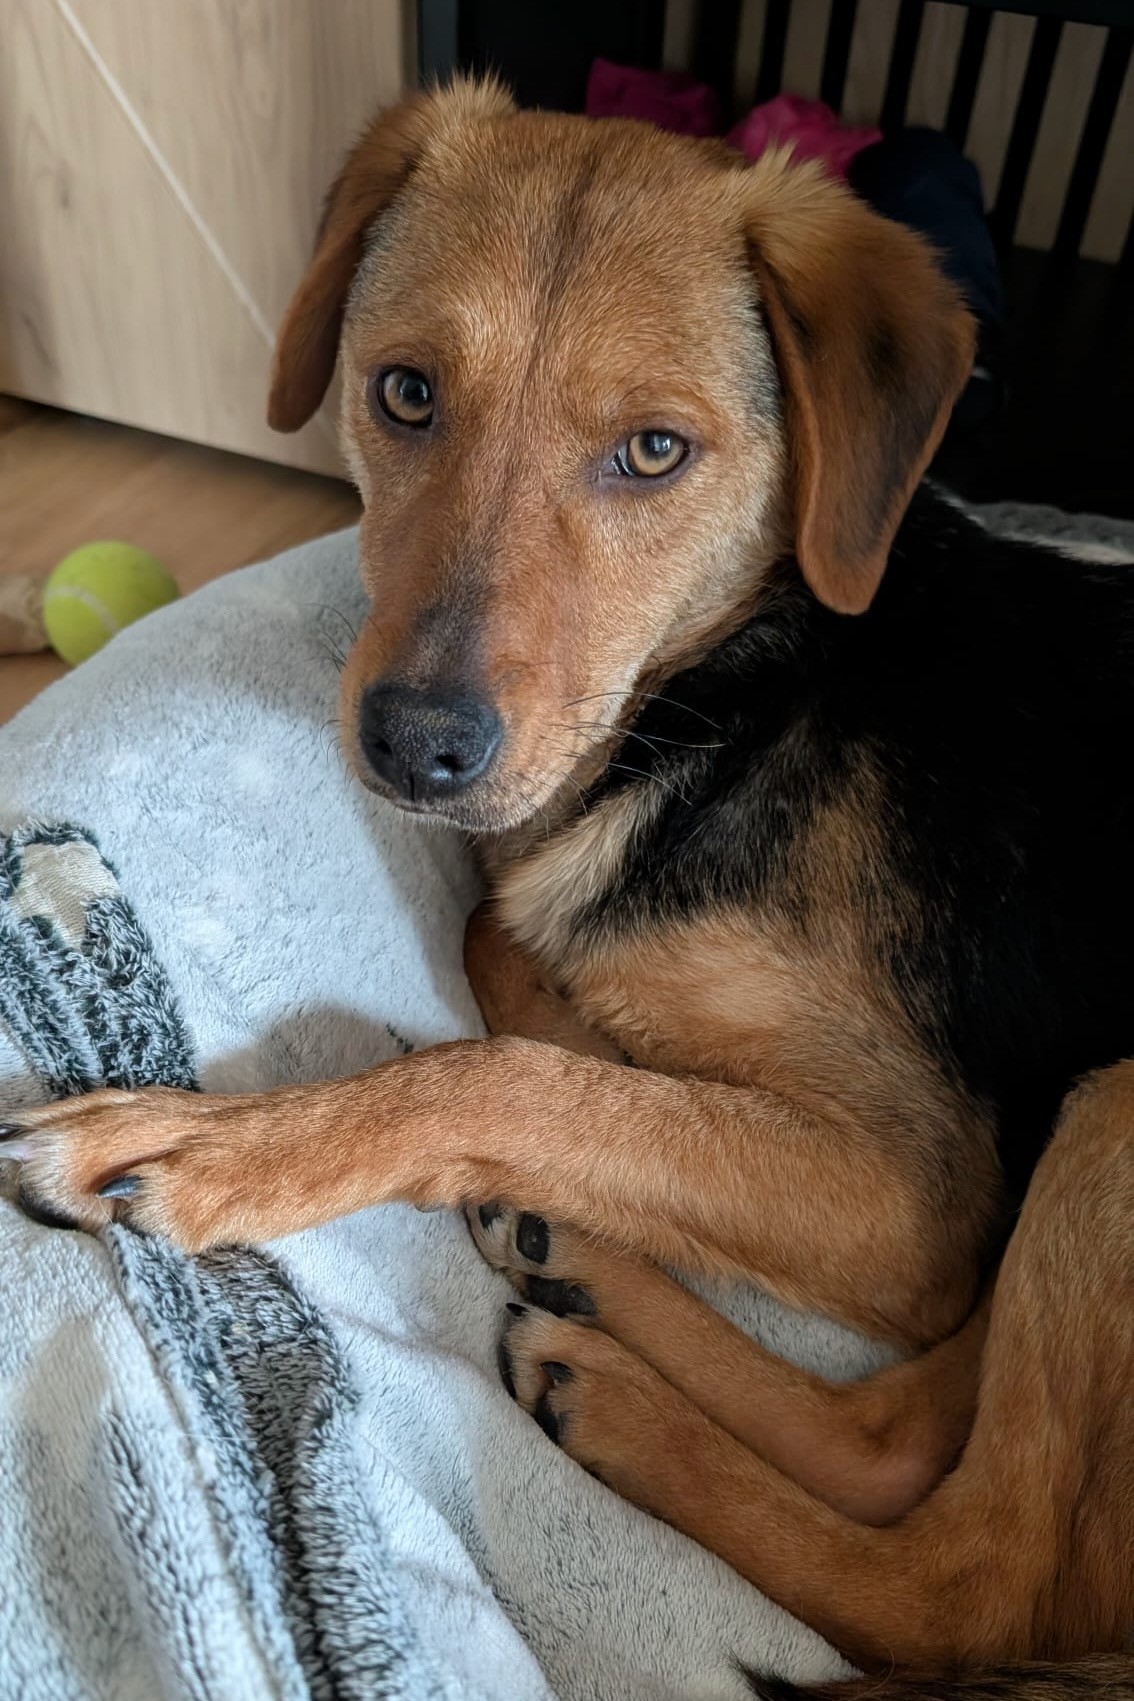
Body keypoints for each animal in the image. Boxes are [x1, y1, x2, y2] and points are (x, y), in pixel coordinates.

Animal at [4, 79, 1131, 1696]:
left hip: (1106, 1118)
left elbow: (502, 1070)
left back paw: (622, 1396)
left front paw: (223, 1144)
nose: (413, 744)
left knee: (968, 1575)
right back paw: (581, 1277)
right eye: (406, 391)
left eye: (654, 451)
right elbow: (521, 972)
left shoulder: (923, 1191)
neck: (736, 687)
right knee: (903, 1429)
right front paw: (605, 1064)